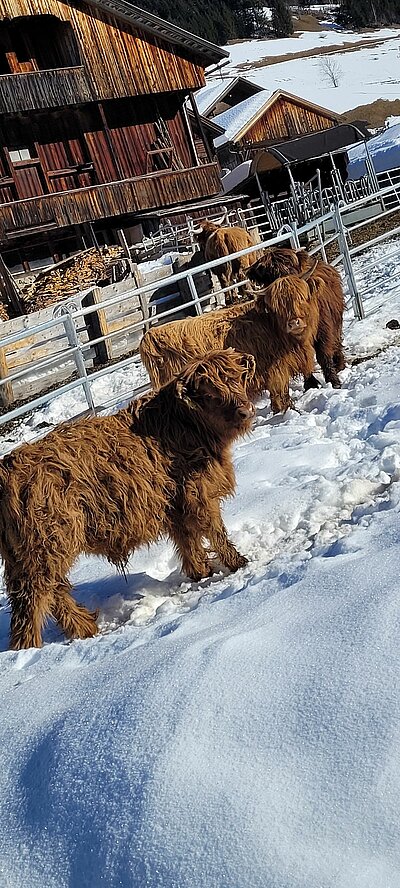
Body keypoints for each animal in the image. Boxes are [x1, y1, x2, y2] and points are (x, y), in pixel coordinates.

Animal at [0, 350, 255, 648]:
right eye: (209, 393)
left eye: (236, 378)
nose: (245, 411)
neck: (182, 425)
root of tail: (7, 467)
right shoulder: (198, 494)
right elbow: (215, 531)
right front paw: (239, 563)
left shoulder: (176, 503)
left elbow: (187, 539)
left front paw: (202, 571)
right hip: (44, 547)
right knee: (34, 598)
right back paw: (29, 646)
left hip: (28, 555)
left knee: (53, 591)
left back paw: (85, 627)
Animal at [139, 276, 320, 414]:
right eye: (277, 306)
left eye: (301, 298)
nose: (294, 323)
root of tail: (150, 336)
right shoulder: (276, 370)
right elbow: (281, 393)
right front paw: (287, 412)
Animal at [248, 248, 346, 390]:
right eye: (269, 277)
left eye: (290, 269)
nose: (294, 323)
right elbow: (303, 359)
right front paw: (310, 384)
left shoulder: (324, 330)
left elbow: (323, 354)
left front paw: (334, 382)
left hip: (336, 320)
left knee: (336, 341)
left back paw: (340, 365)